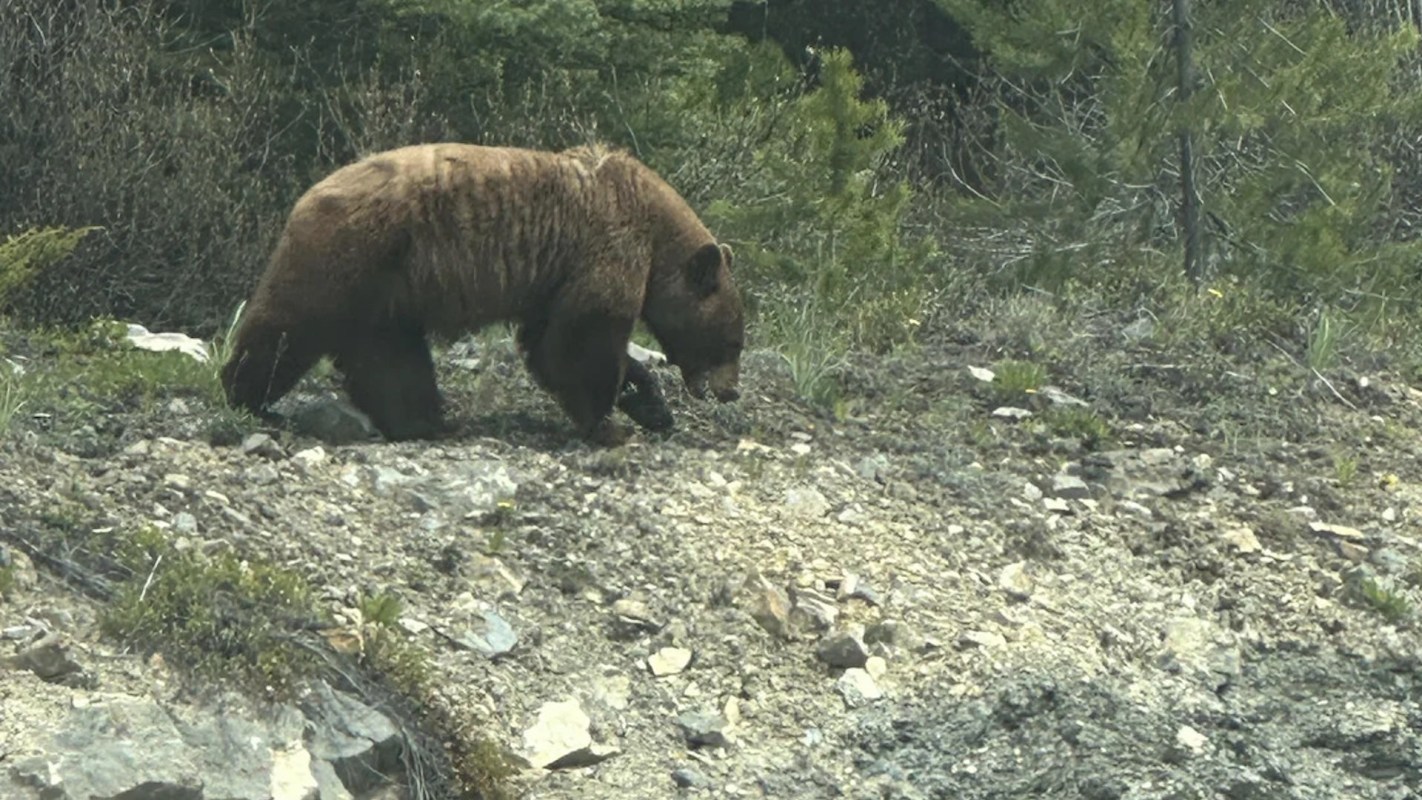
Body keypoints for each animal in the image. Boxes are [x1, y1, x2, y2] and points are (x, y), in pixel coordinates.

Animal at [218, 141, 745, 449]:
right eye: (732, 341)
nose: (731, 391)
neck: (656, 236)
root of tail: (308, 195)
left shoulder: (553, 280)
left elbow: (549, 342)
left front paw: (652, 406)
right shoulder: (604, 249)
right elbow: (581, 342)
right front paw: (609, 425)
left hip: (386, 291)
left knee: (390, 357)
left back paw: (425, 422)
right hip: (352, 255)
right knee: (288, 327)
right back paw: (245, 393)